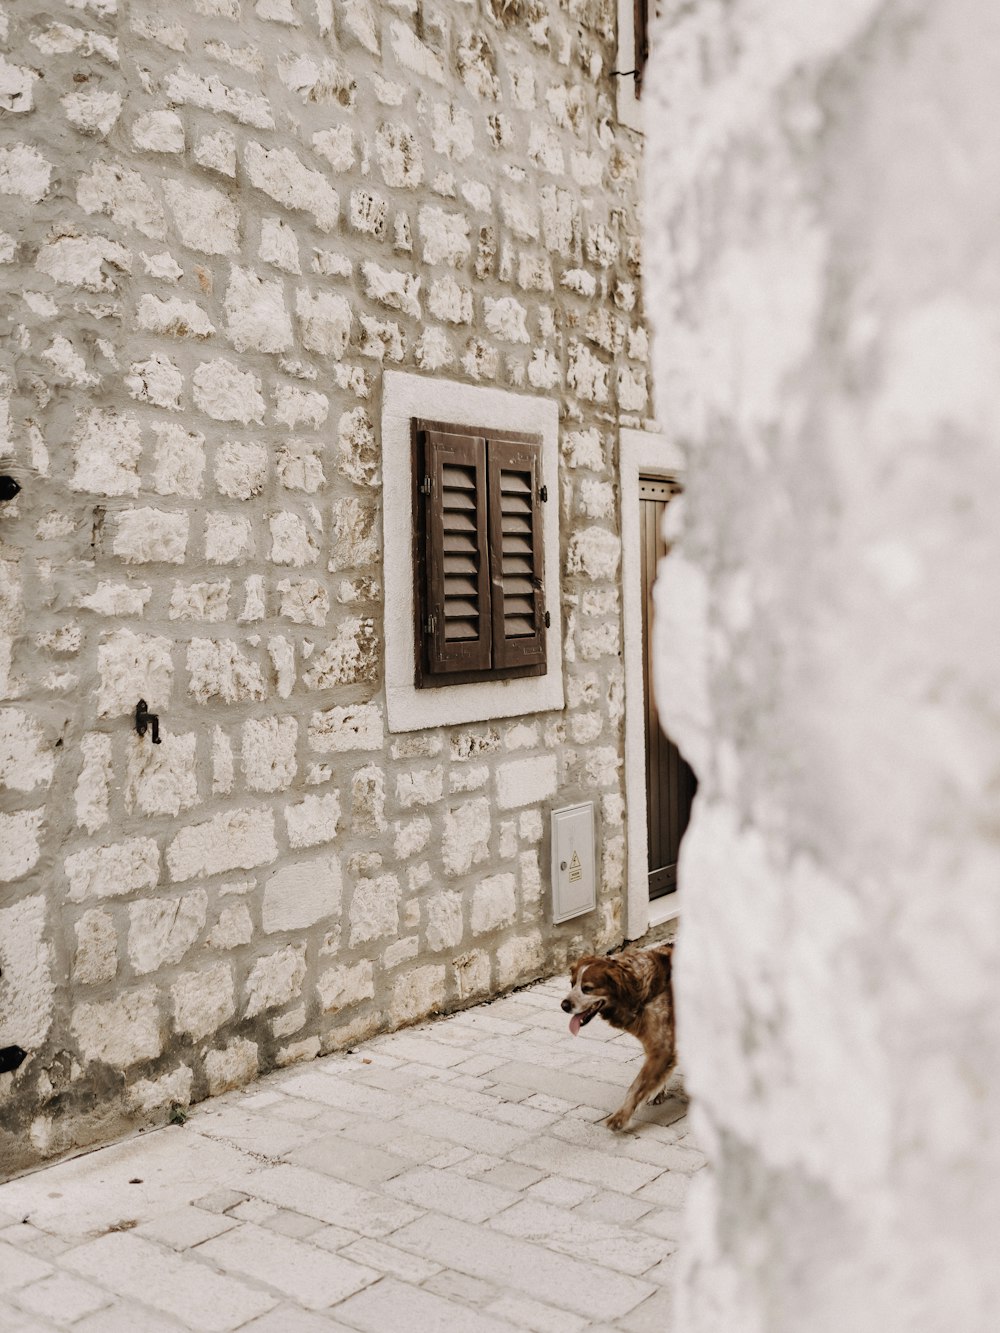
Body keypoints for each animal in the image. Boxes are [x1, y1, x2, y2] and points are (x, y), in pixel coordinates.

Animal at [565, 943, 682, 1130]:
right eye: (571, 984)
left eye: (587, 988)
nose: (564, 1005)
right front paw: (659, 1092)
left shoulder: (661, 1046)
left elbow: (637, 1086)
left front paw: (620, 1117)